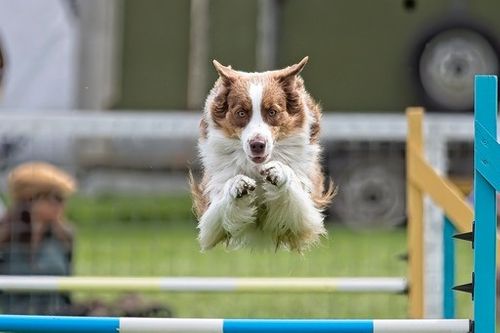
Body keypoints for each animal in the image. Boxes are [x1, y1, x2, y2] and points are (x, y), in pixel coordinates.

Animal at [191, 56, 336, 252]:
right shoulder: (210, 220)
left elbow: (296, 207)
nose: (257, 145)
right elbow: (217, 215)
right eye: (241, 113)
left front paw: (280, 172)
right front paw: (237, 184)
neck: (256, 167)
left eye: (272, 112)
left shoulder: (304, 217)